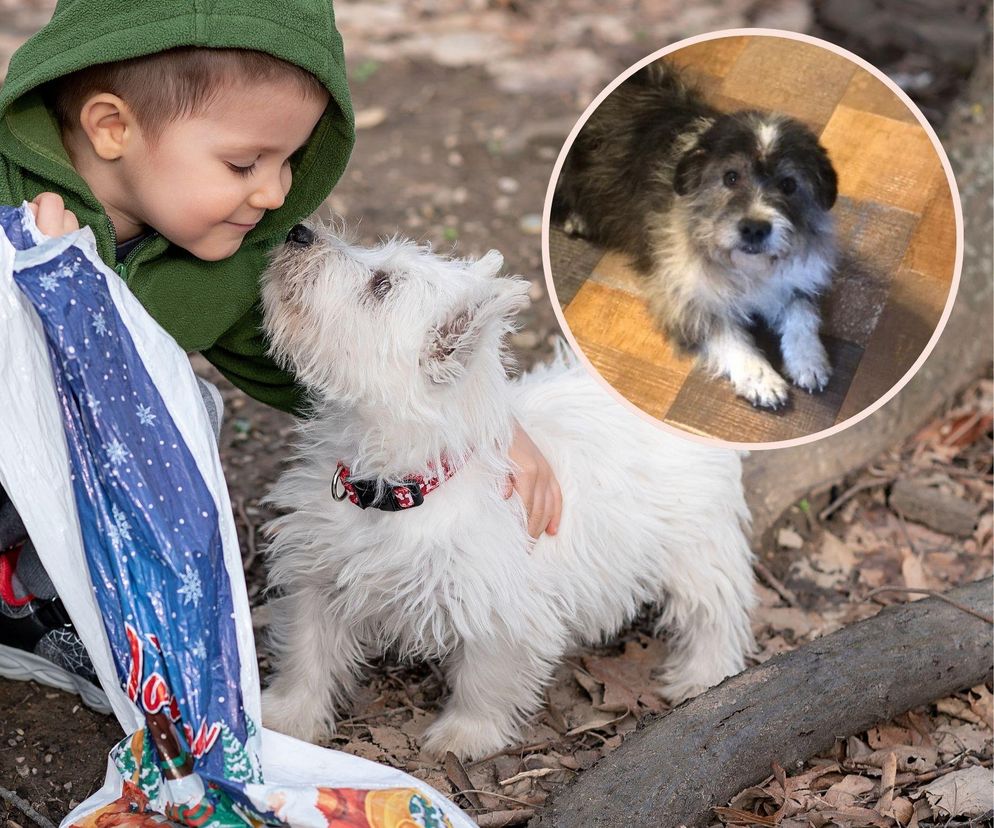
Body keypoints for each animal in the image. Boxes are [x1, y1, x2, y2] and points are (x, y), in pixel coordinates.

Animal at [256, 223, 752, 760]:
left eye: (382, 285)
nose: (298, 230)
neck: (400, 487)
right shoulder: (317, 574)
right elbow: (306, 654)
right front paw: (286, 718)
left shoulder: (500, 611)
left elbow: (484, 680)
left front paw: (462, 737)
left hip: (697, 546)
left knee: (715, 612)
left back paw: (703, 678)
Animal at [552, 60, 836, 408]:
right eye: (730, 177)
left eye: (788, 184)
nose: (755, 228)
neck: (746, 269)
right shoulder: (684, 296)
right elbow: (726, 331)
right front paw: (759, 377)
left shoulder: (795, 280)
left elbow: (801, 312)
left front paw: (808, 359)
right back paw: (577, 218)